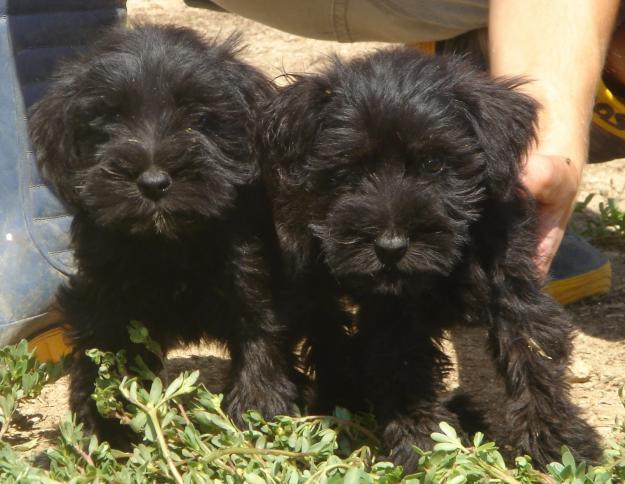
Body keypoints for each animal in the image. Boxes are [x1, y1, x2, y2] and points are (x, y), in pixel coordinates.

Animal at [26, 23, 294, 446]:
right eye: (109, 121)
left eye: (198, 117)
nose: (153, 182)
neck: (169, 244)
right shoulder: (104, 292)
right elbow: (103, 348)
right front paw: (103, 422)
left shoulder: (252, 277)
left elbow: (260, 335)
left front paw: (258, 411)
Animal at [260, 48, 600, 468]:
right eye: (348, 170)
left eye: (434, 164)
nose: (390, 246)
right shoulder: (393, 310)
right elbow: (403, 370)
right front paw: (427, 448)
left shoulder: (513, 285)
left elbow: (534, 355)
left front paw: (558, 444)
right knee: (327, 333)